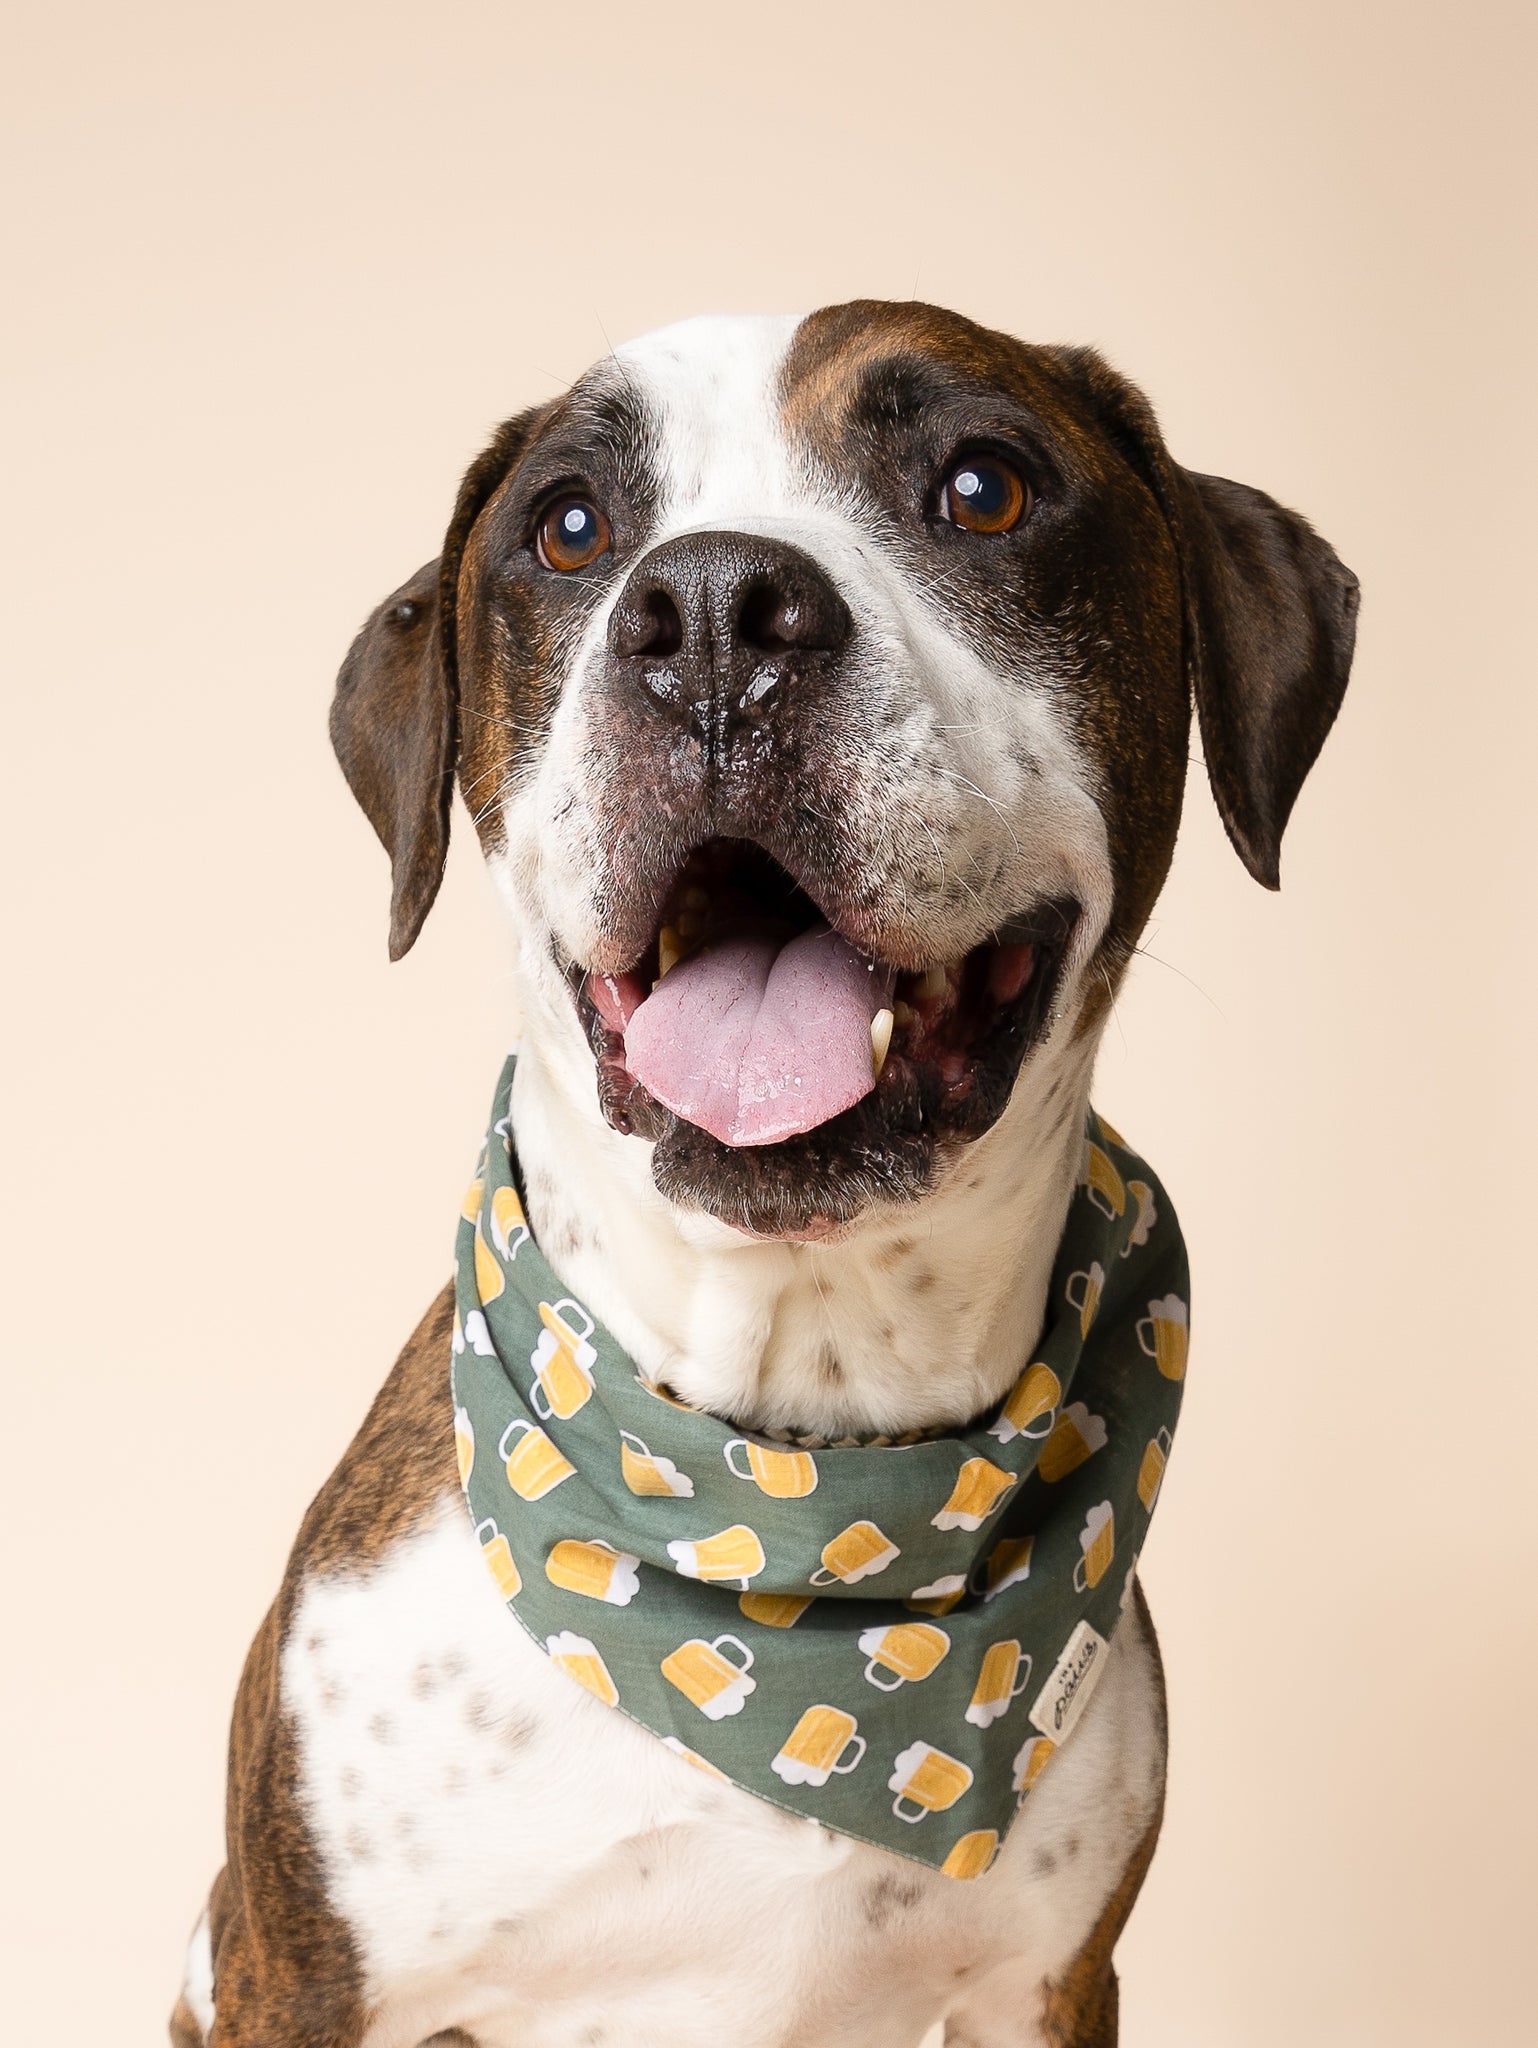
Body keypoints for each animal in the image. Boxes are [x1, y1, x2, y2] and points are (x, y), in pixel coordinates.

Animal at [171, 296, 1359, 2039]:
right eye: (569, 527)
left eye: (983, 487)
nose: (717, 612)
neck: (796, 1475)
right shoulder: (293, 1977)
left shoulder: (1052, 1981)